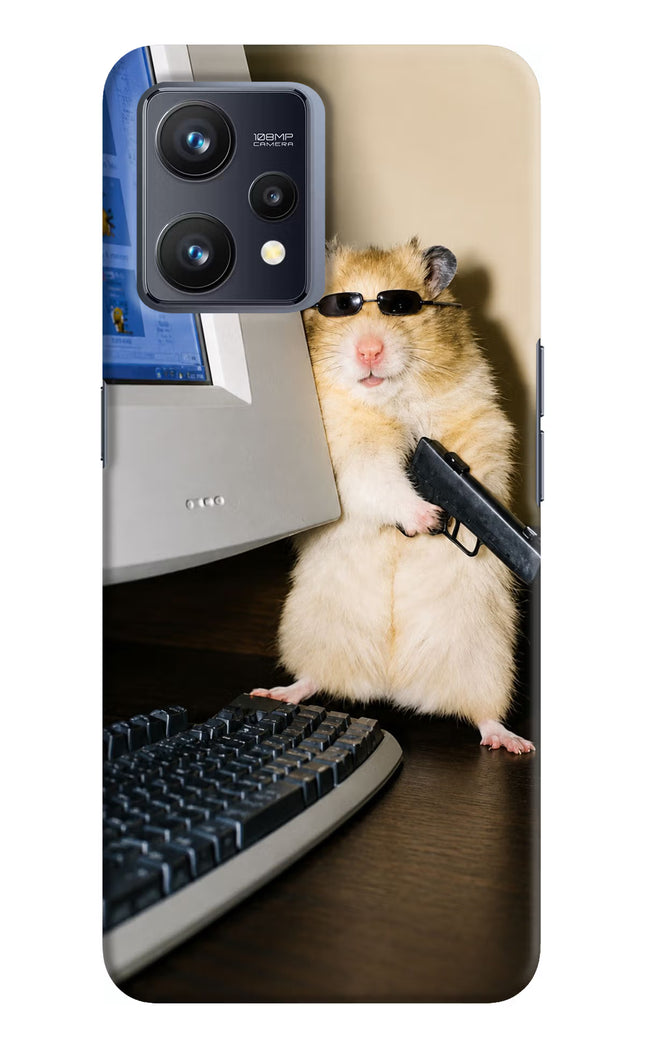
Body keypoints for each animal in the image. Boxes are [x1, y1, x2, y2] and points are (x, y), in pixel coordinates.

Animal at [252, 239, 534, 754]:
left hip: (488, 661)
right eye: (338, 306)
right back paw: (276, 692)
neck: (389, 401)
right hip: (310, 632)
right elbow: (380, 481)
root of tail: (393, 686)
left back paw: (512, 742)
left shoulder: (481, 425)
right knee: (312, 678)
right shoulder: (347, 458)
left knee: (484, 714)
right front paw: (428, 518)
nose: (369, 350)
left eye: (401, 306)